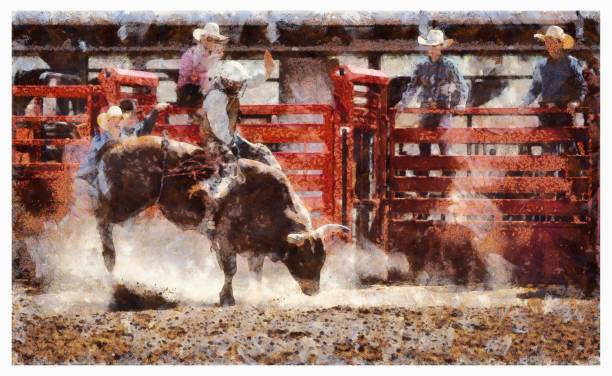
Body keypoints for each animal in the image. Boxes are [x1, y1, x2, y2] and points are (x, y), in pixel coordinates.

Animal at [91, 135, 350, 306]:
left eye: (322, 259)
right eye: (303, 259)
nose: (313, 290)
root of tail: (117, 145)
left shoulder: (255, 250)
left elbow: (256, 272)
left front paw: (257, 294)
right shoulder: (224, 240)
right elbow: (230, 270)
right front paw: (227, 298)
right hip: (127, 201)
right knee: (102, 218)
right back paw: (108, 256)